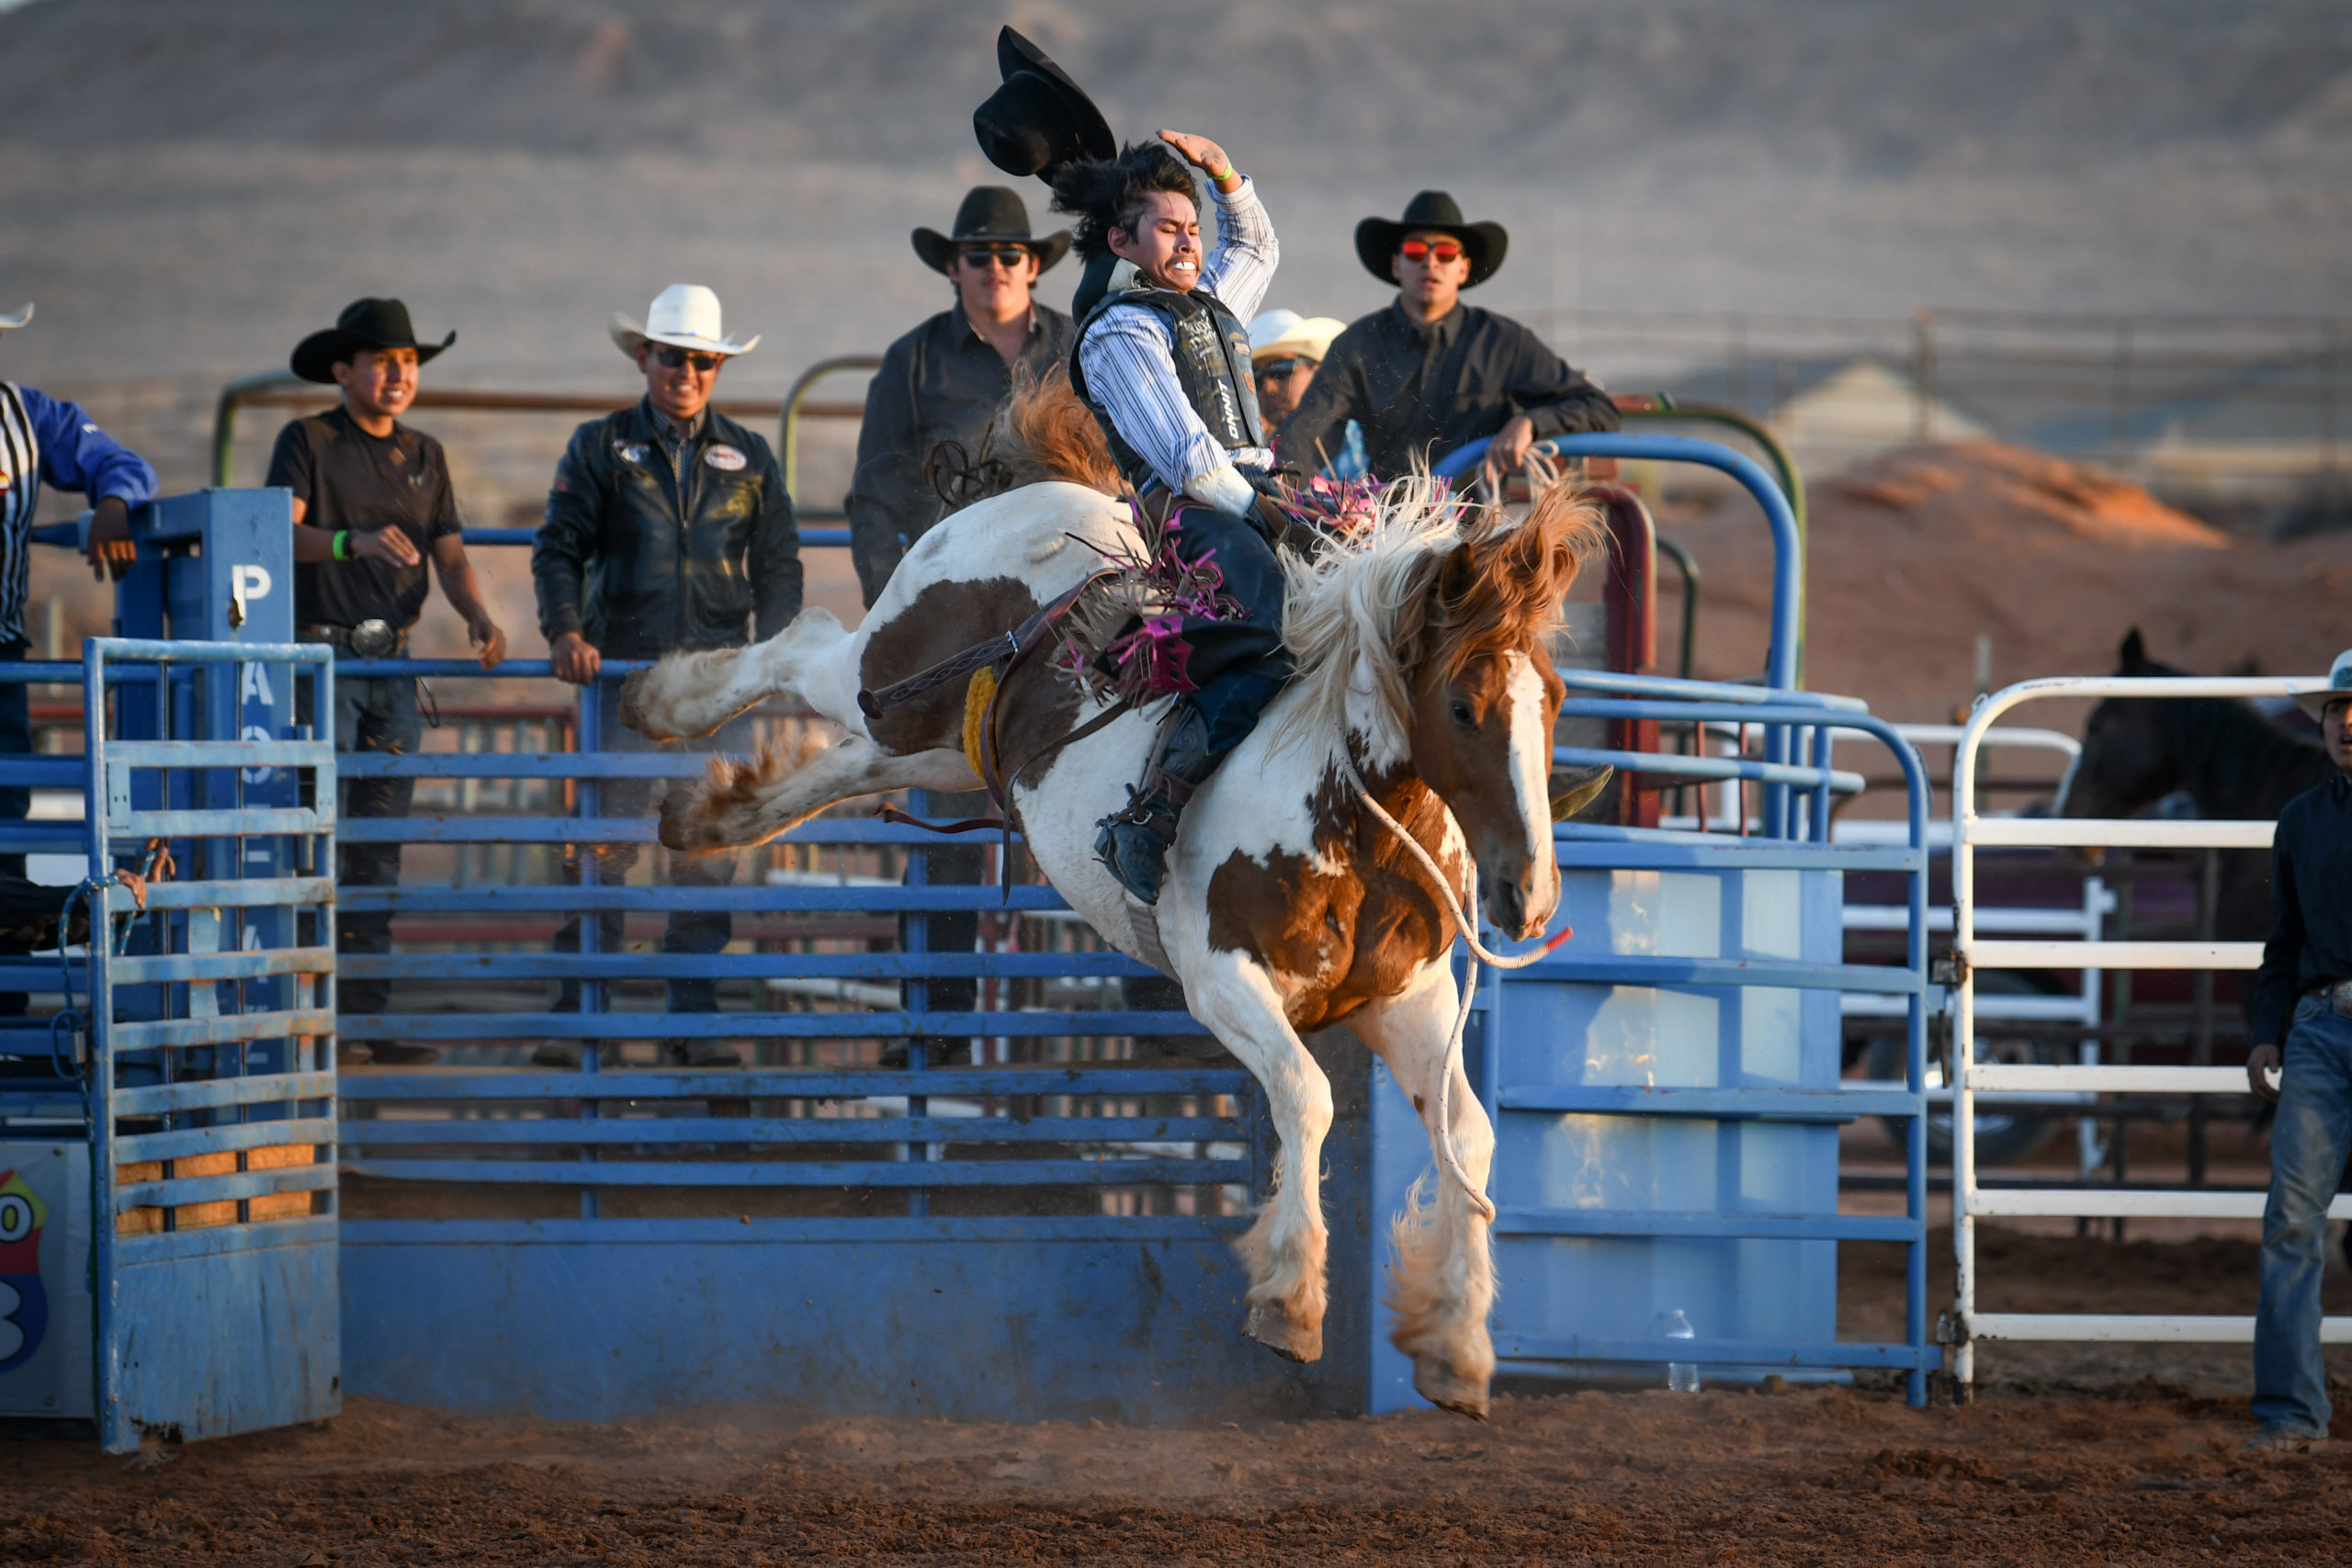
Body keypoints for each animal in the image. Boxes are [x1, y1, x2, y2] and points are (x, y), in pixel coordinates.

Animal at [616, 376, 1609, 1419]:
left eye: (1555, 699)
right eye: (1461, 704)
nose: (1528, 896)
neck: (1339, 802)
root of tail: (1043, 489)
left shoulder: (1403, 1000)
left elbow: (1466, 1136)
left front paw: (1455, 1342)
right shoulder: (1221, 981)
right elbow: (1305, 1097)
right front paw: (1290, 1302)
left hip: (935, 746)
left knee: (836, 768)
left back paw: (703, 818)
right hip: (883, 678)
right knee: (806, 647)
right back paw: (663, 700)